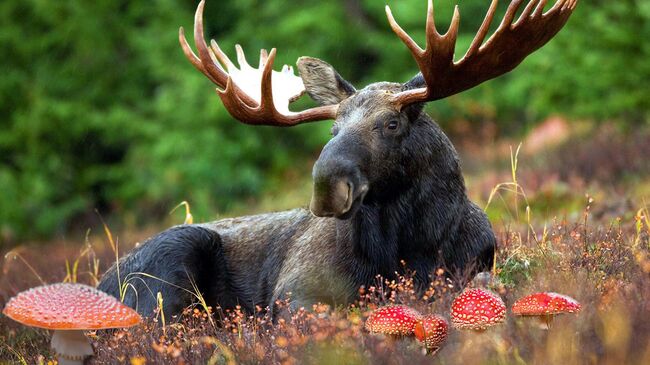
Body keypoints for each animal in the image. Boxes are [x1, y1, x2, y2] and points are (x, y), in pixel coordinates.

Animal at [96, 0, 572, 316]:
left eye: (391, 123)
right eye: (333, 129)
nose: (326, 186)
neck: (410, 248)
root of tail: (100, 281)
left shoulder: (476, 264)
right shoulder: (295, 292)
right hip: (166, 269)